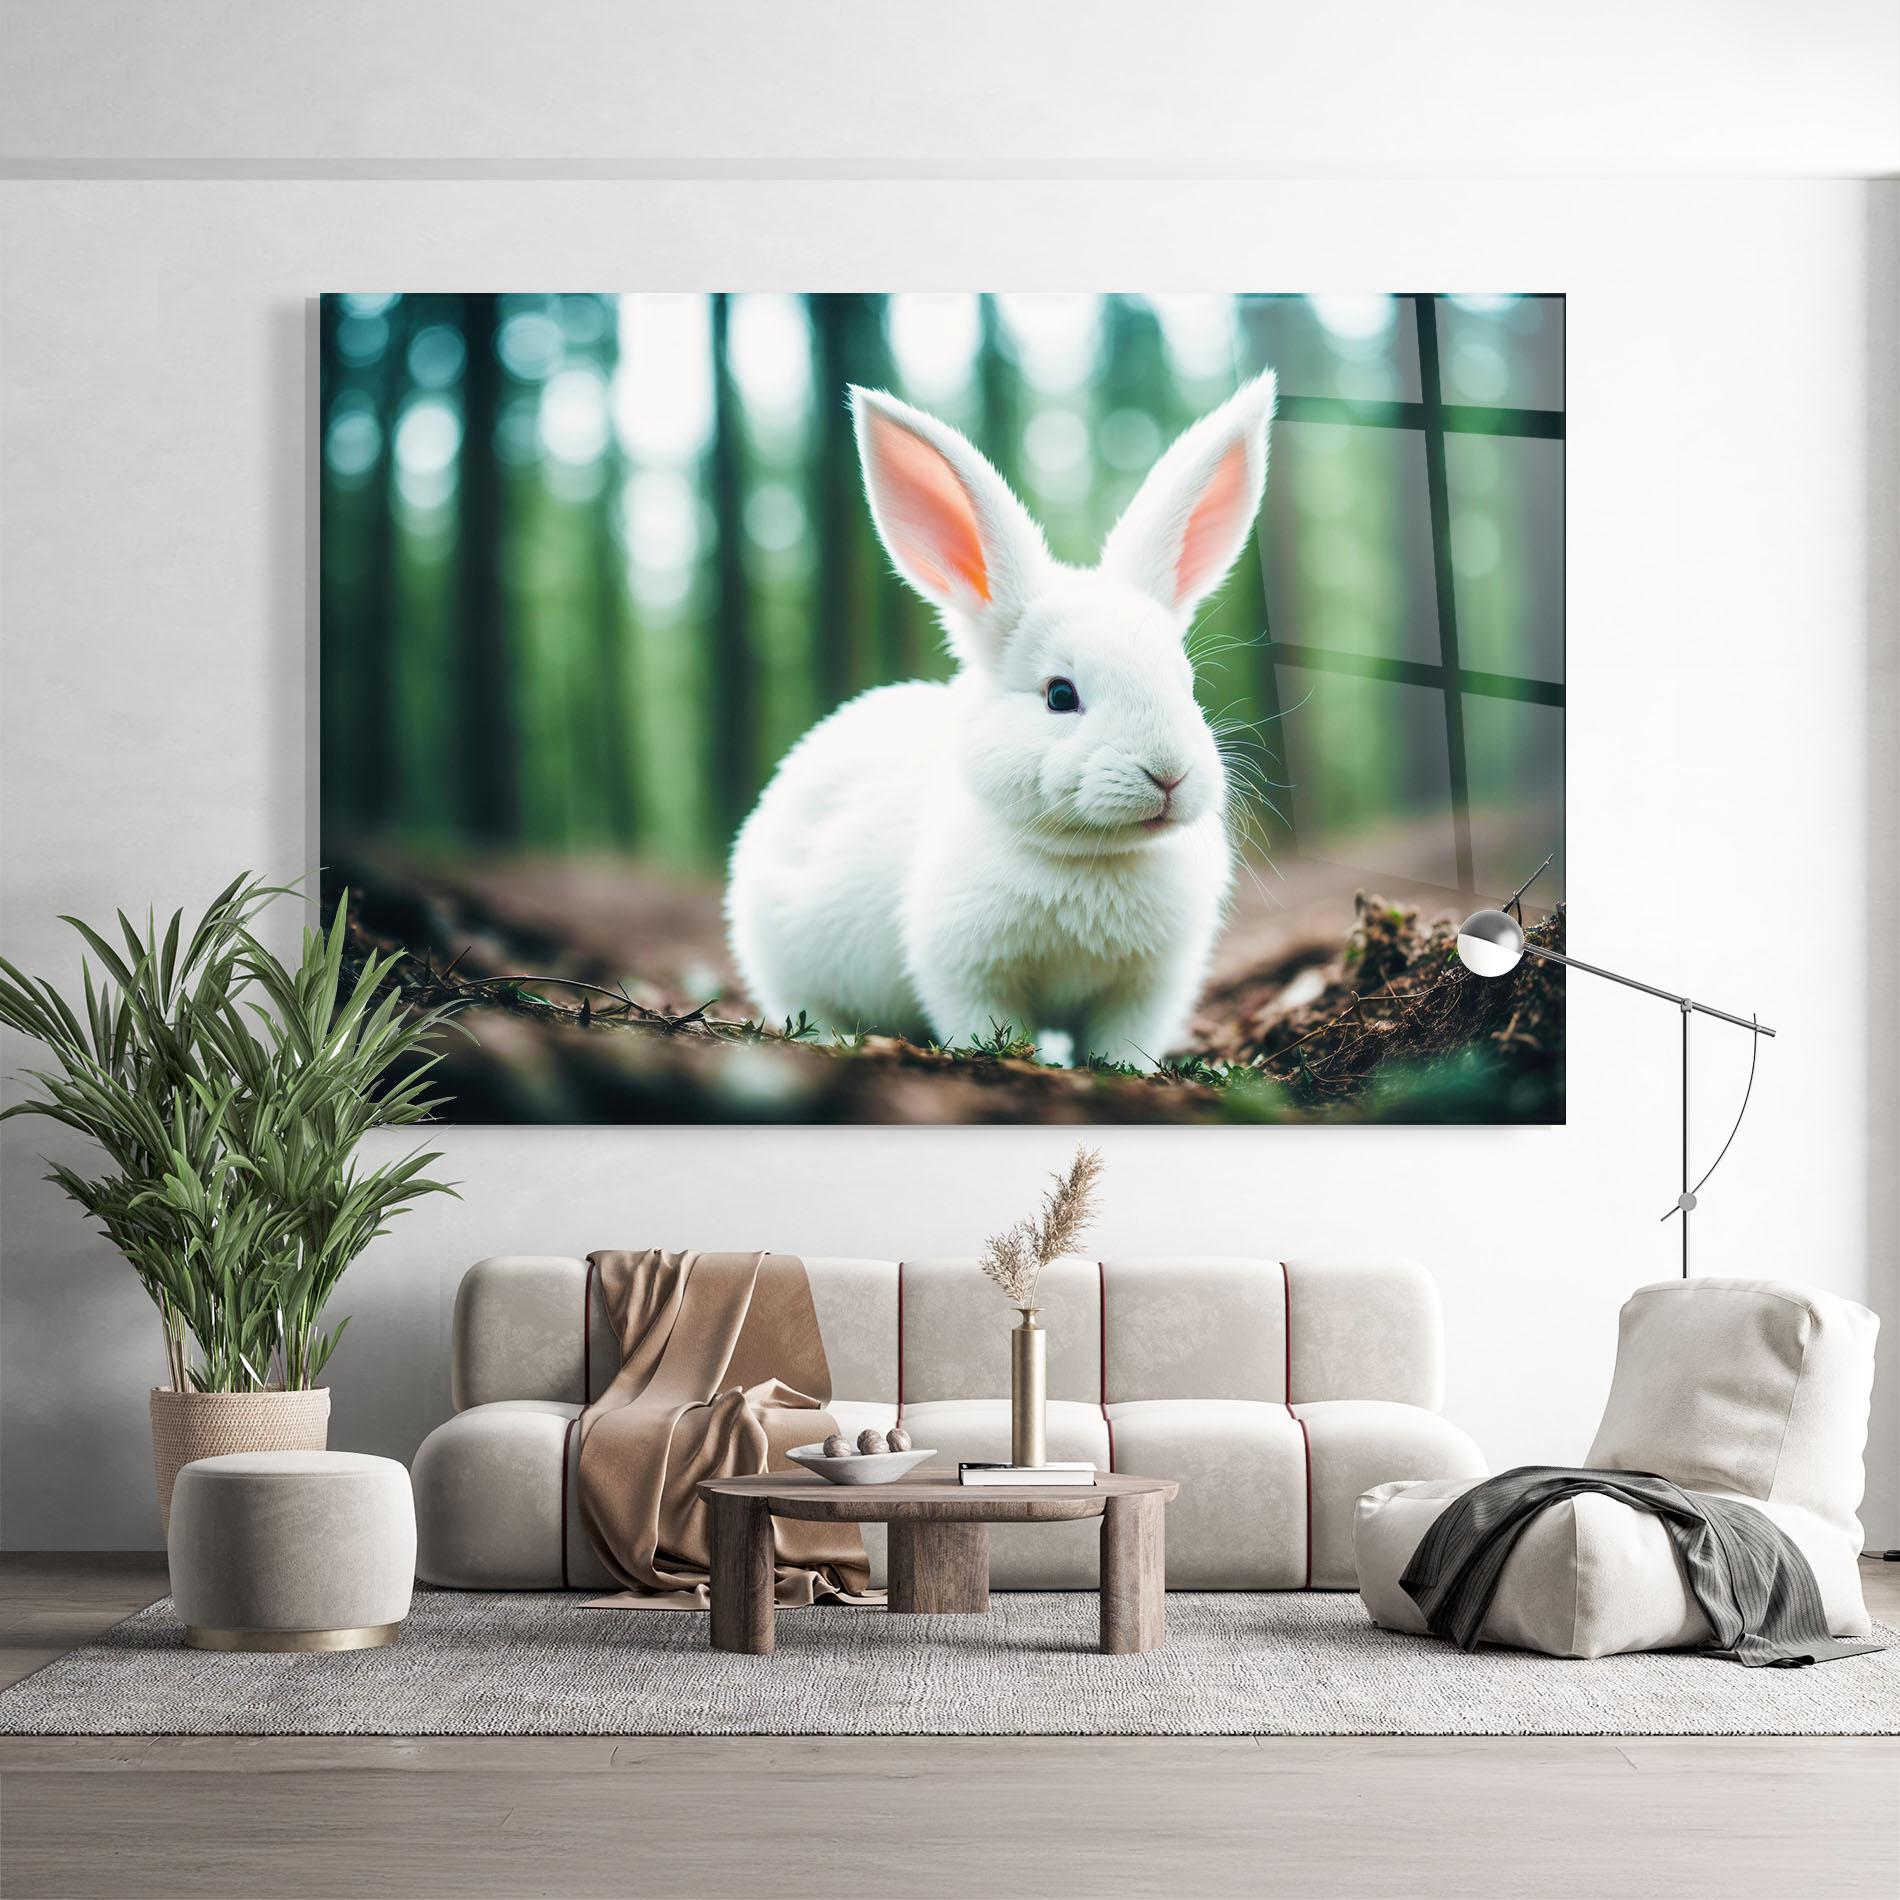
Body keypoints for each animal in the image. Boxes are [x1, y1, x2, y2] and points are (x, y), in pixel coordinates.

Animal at [725, 370, 1276, 1070]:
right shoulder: (965, 971)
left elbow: (1120, 1039)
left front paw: (1119, 1070)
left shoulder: (1147, 985)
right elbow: (985, 1021)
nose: (1169, 773)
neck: (1090, 857)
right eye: (1060, 695)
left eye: (1187, 683)